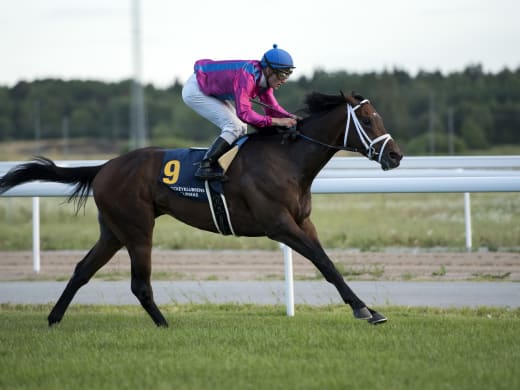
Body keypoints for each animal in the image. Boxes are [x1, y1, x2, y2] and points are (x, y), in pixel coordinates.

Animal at [0, 91, 402, 326]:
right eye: (367, 120)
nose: (396, 156)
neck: (288, 159)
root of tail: (104, 167)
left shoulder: (303, 222)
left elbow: (327, 262)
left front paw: (367, 308)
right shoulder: (278, 224)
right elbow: (323, 261)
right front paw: (365, 311)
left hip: (113, 230)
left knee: (83, 270)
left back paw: (54, 319)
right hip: (137, 228)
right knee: (139, 283)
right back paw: (164, 325)